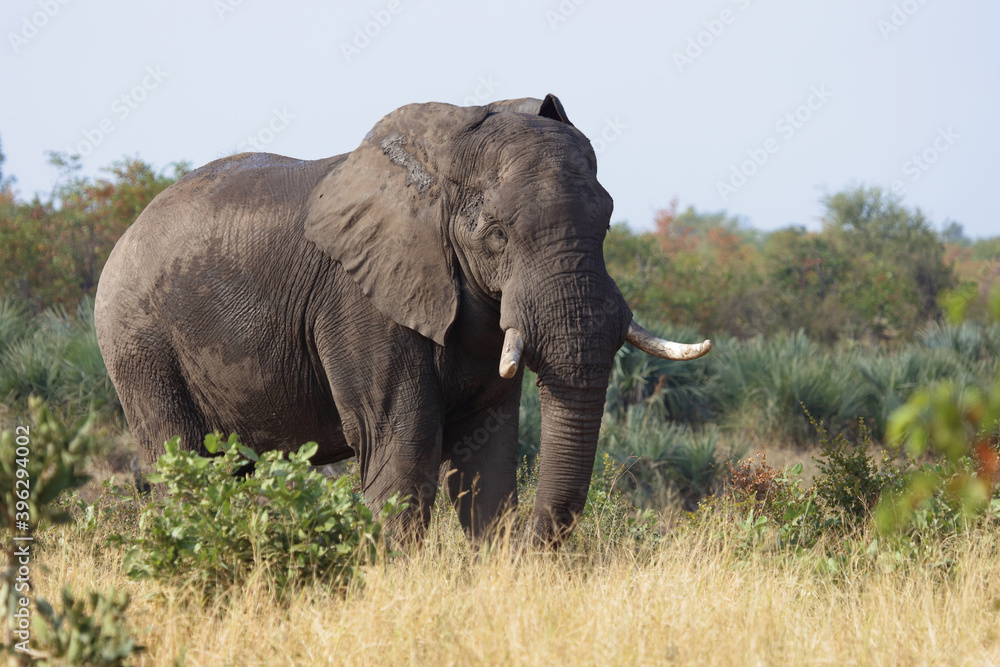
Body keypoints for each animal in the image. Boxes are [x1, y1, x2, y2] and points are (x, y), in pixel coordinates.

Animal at [90, 96, 708, 552]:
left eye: (607, 223)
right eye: (496, 235)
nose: (531, 554)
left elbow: (487, 450)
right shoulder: (359, 301)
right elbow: (402, 441)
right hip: (138, 343)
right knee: (181, 462)